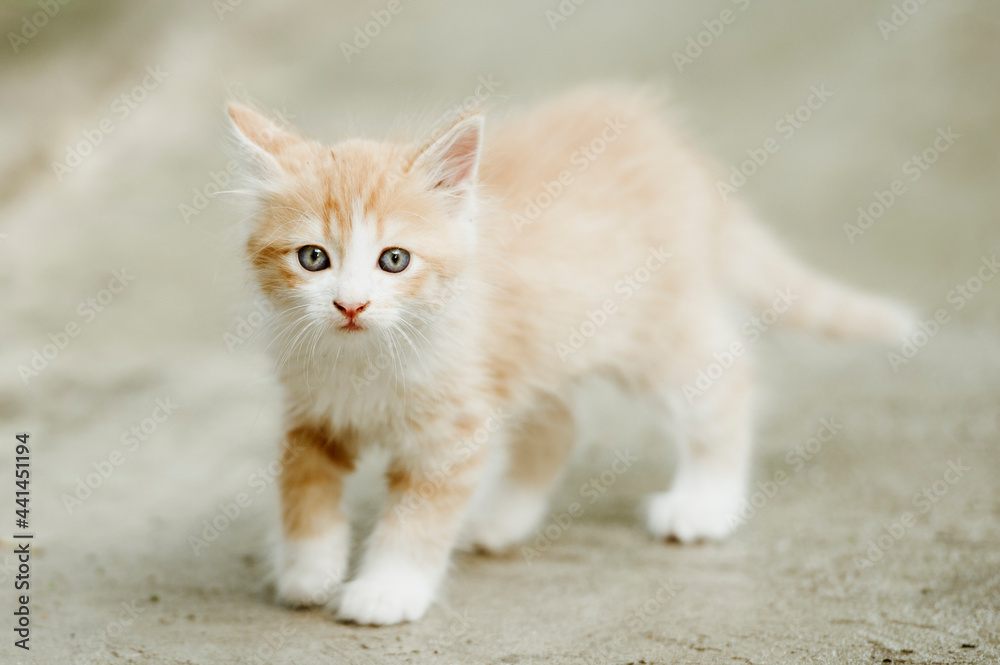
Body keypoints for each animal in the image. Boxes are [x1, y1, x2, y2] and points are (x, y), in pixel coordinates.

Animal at [227, 85, 916, 624]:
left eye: (393, 259)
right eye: (313, 258)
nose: (350, 305)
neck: (364, 359)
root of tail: (671, 145)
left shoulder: (453, 431)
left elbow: (416, 520)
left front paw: (386, 590)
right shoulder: (311, 414)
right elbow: (302, 488)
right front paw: (308, 569)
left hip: (656, 329)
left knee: (726, 379)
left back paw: (704, 503)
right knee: (559, 424)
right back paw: (501, 519)